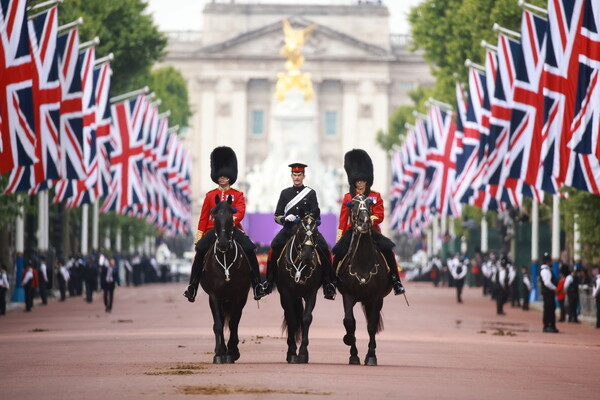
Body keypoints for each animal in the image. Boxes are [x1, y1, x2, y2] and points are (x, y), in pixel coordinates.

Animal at [199, 195, 251, 364]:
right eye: (214, 216)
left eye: (230, 217)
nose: (222, 244)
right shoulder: (214, 296)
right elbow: (218, 323)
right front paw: (218, 353)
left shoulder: (239, 296)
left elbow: (234, 323)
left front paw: (231, 352)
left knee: (235, 320)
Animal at [276, 214, 324, 364]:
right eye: (301, 231)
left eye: (315, 232)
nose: (307, 255)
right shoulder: (286, 293)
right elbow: (291, 319)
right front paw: (292, 353)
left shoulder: (311, 292)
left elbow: (306, 318)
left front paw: (303, 353)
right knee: (288, 315)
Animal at [336, 194, 392, 366]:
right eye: (352, 205)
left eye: (369, 203)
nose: (365, 221)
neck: (363, 262)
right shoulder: (348, 295)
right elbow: (349, 322)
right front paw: (352, 350)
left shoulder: (375, 298)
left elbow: (372, 326)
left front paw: (371, 356)